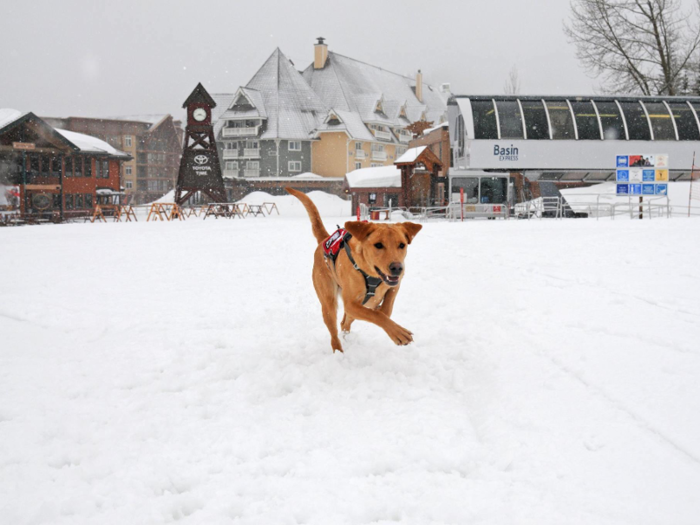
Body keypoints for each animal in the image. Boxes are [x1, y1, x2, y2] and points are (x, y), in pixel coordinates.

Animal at [286, 188, 422, 352]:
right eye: (378, 245)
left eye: (402, 245)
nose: (397, 268)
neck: (371, 274)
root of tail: (324, 240)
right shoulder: (350, 303)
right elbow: (377, 315)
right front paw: (398, 333)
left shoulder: (394, 285)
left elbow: (386, 309)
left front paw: (382, 309)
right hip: (328, 302)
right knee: (334, 332)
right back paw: (339, 352)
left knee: (345, 322)